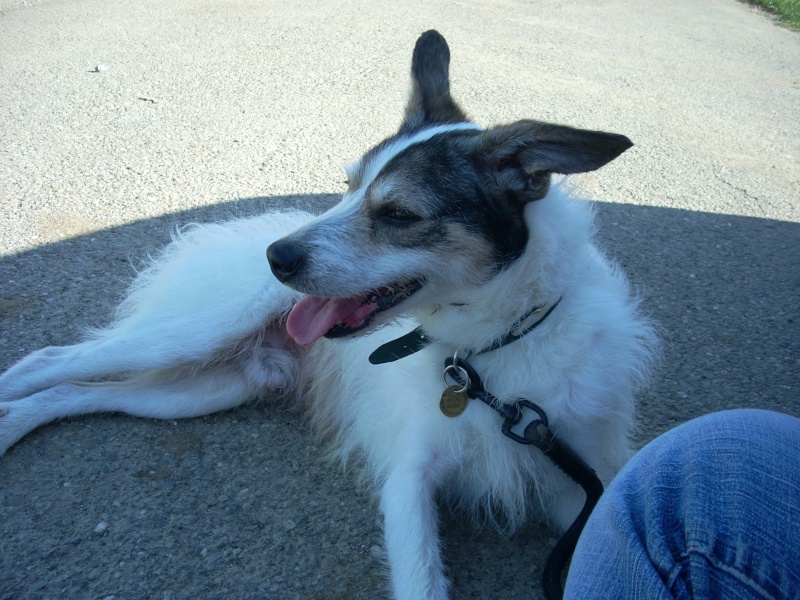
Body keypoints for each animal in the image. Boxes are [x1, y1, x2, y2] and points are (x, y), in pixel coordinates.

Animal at [0, 31, 656, 600]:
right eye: (348, 186)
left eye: (398, 214)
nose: (277, 259)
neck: (494, 355)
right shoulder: (409, 480)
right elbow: (421, 580)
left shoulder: (584, 491)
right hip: (190, 337)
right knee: (49, 360)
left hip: (206, 387)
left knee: (75, 392)